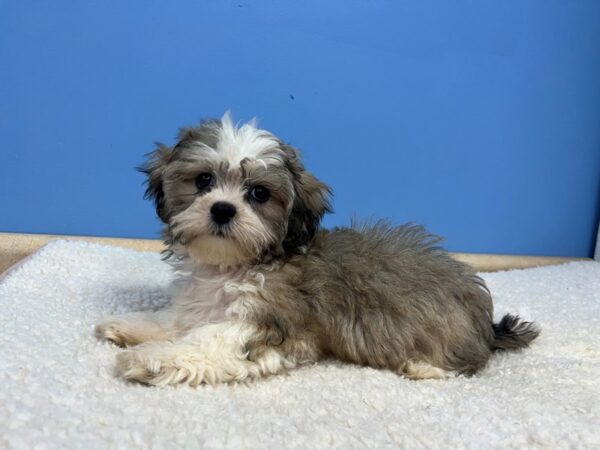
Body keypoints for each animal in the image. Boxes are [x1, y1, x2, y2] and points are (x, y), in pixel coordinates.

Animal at [97, 113, 540, 386]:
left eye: (259, 194)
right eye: (203, 180)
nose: (222, 209)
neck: (236, 265)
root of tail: (487, 325)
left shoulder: (268, 320)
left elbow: (206, 340)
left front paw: (150, 359)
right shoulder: (203, 305)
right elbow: (177, 322)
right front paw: (130, 326)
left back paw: (422, 367)